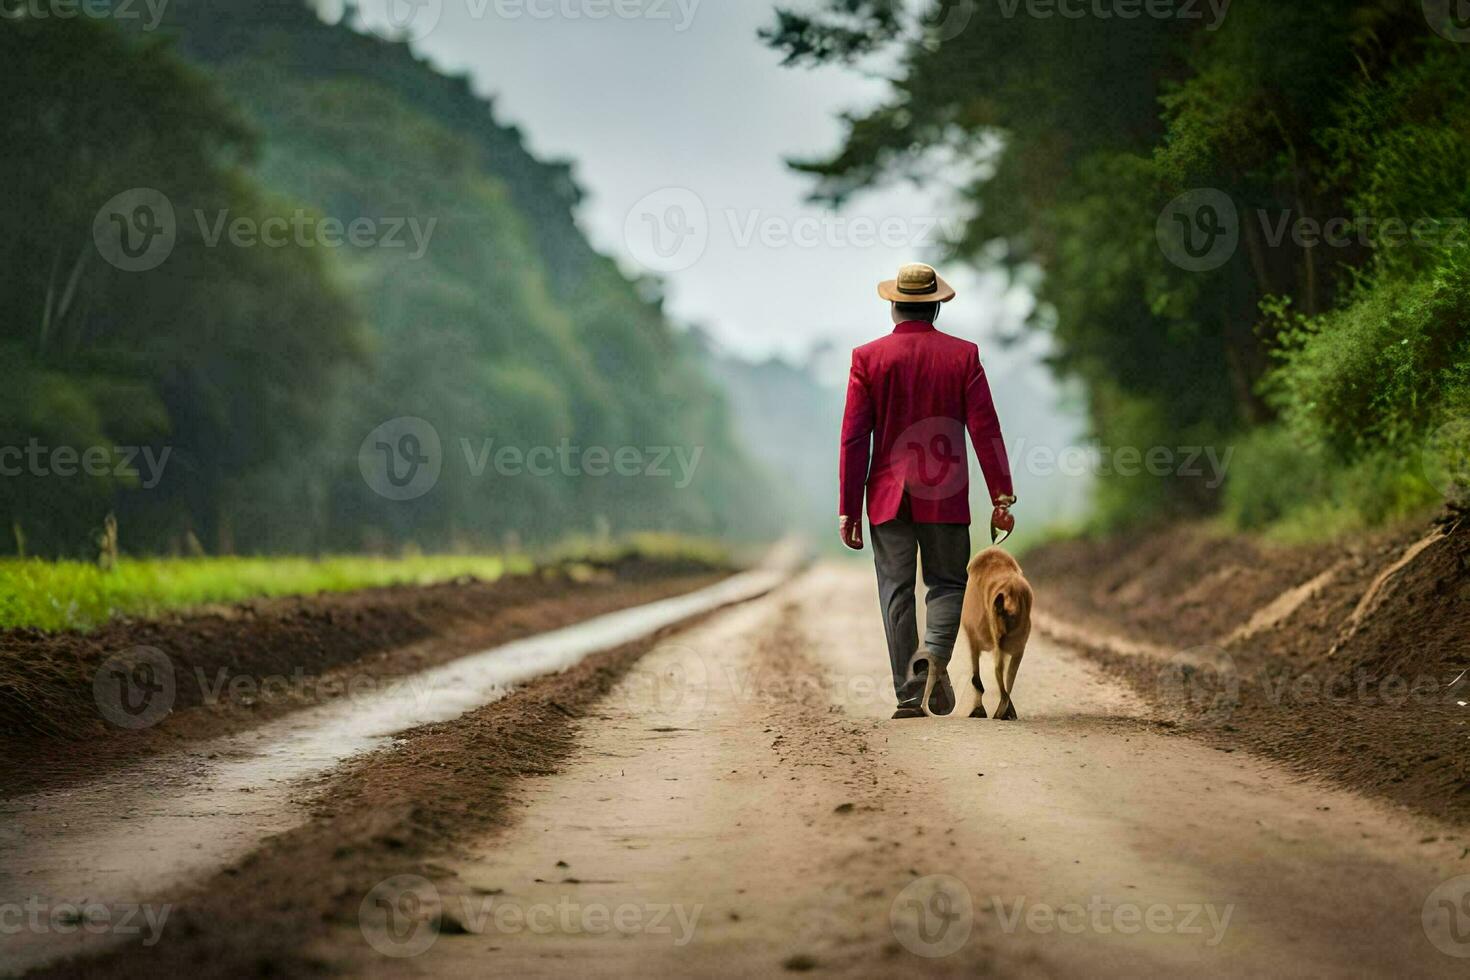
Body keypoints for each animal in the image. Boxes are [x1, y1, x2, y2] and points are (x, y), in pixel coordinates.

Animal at [917, 543, 1034, 719]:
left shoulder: (973, 640)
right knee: (1006, 684)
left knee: (997, 679)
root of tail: (1009, 594)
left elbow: (977, 679)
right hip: (1016, 647)